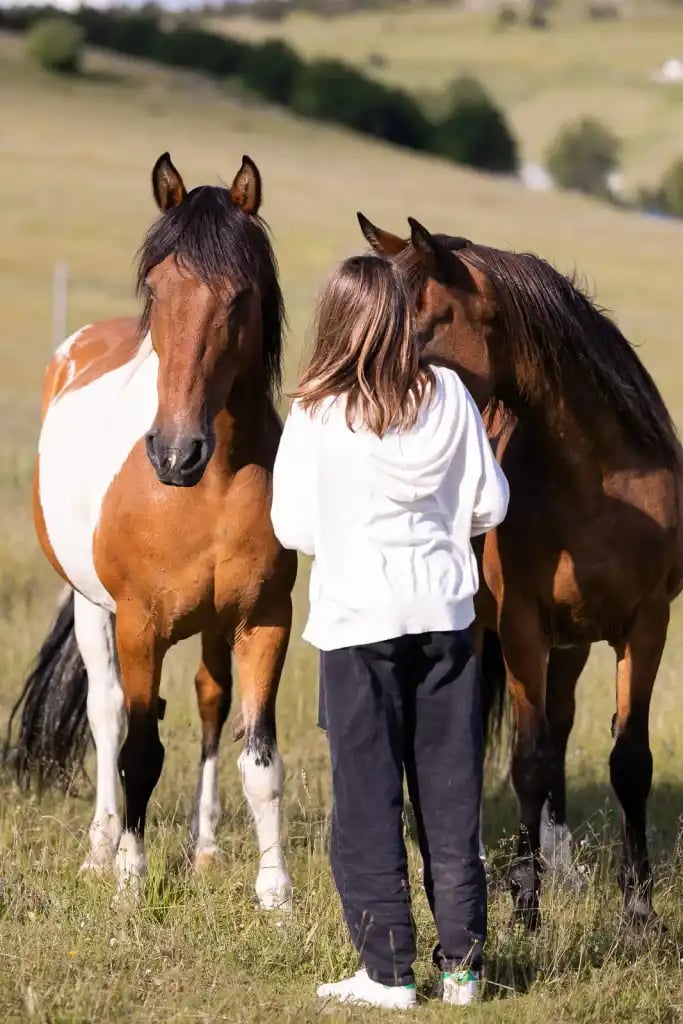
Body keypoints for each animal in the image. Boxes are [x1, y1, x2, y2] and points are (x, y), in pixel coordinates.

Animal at [6, 153, 297, 908]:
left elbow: (260, 760)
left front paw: (275, 894)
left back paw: (204, 848)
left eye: (239, 295)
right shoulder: (141, 623)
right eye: (158, 289)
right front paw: (130, 885)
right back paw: (100, 852)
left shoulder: (264, 620)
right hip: (93, 609)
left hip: (216, 627)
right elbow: (138, 751)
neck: (211, 486)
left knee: (210, 705)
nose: (174, 453)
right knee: (109, 716)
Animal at [356, 212, 683, 930]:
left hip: (573, 643)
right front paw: (526, 907)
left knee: (557, 726)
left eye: (424, 325)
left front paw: (637, 909)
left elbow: (628, 760)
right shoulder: (521, 626)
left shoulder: (644, 623)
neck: (598, 483)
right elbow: (527, 761)